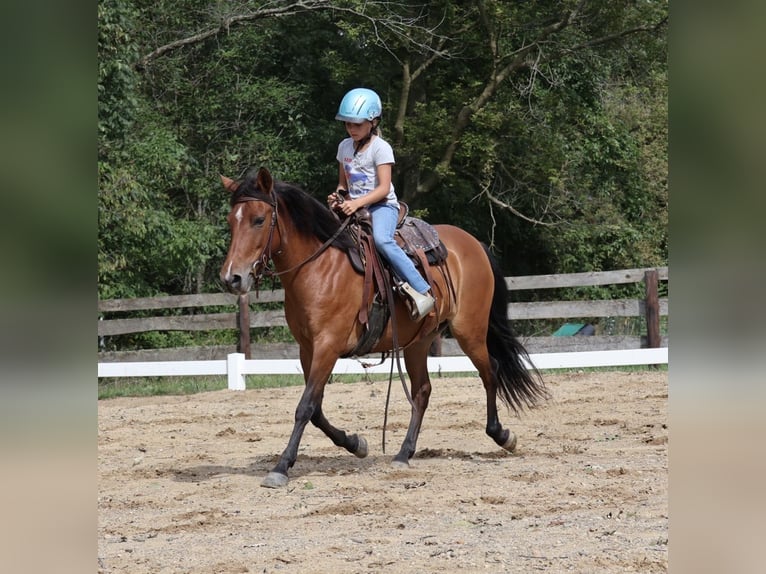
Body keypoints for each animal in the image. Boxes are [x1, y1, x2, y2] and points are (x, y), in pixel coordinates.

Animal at [219, 166, 548, 488]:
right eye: (231, 221)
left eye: (259, 220)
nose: (231, 278)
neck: (319, 267)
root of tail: (473, 244)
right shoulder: (307, 349)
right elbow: (317, 409)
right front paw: (356, 443)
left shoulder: (327, 345)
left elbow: (305, 407)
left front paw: (281, 467)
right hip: (419, 341)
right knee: (422, 391)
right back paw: (404, 453)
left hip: (470, 330)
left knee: (490, 371)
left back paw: (502, 435)